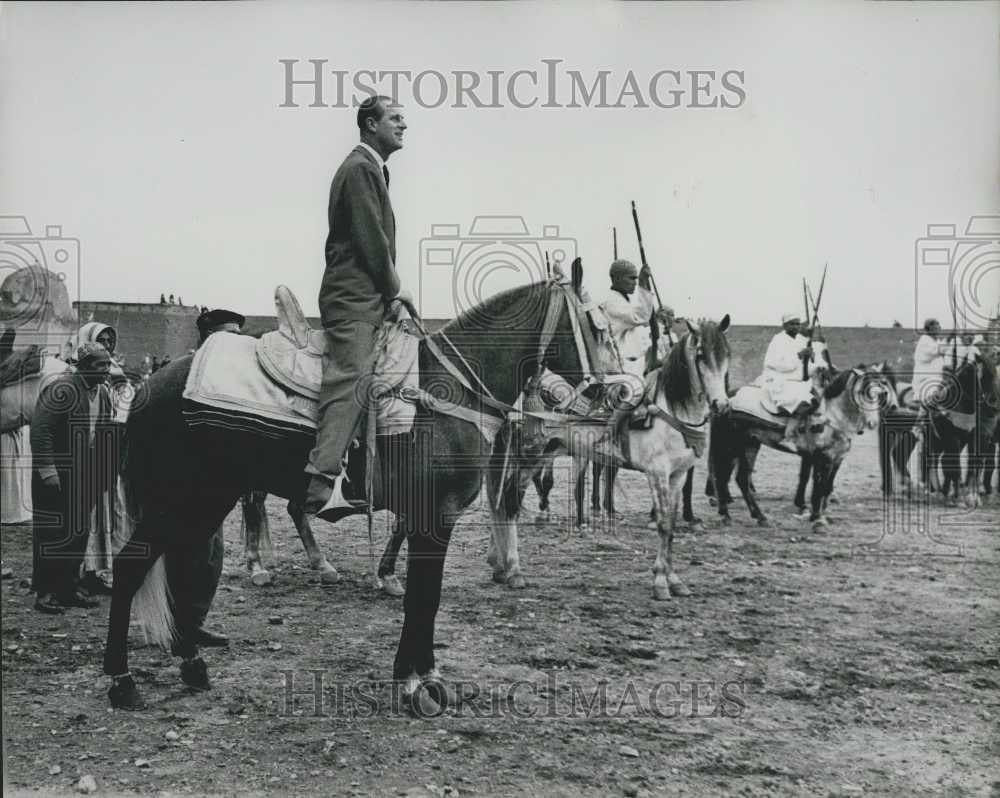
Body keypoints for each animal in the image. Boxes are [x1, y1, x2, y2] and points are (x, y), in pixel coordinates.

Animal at [101, 278, 588, 716]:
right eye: (592, 321)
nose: (607, 390)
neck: (446, 395)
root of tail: (148, 387)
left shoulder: (425, 516)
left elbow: (420, 591)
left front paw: (419, 671)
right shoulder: (434, 518)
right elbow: (423, 597)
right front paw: (416, 683)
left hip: (204, 500)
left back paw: (193, 662)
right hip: (179, 499)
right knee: (131, 568)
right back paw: (122, 680)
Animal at [486, 316, 732, 604]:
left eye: (726, 355)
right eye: (701, 355)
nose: (721, 405)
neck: (670, 412)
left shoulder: (678, 475)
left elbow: (671, 524)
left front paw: (674, 580)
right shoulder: (657, 473)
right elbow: (663, 524)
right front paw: (660, 582)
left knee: (502, 499)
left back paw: (499, 565)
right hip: (529, 455)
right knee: (509, 501)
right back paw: (513, 569)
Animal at [712, 366, 900, 536]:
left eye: (882, 388)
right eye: (863, 390)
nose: (872, 423)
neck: (832, 417)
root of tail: (726, 400)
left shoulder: (837, 459)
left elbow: (826, 488)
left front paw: (822, 516)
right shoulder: (822, 458)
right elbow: (819, 488)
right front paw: (817, 520)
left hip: (750, 445)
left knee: (740, 479)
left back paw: (759, 517)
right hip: (731, 446)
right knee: (723, 478)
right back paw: (727, 515)